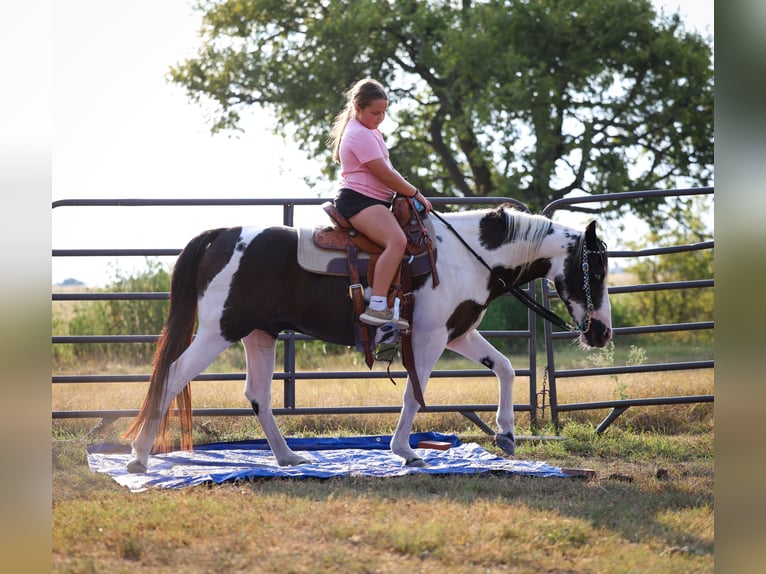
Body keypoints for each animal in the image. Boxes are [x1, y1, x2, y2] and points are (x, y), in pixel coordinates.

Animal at [123, 203, 612, 472]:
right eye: (595, 270)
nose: (602, 332)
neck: (467, 255)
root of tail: (222, 234)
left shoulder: (458, 333)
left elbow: (506, 368)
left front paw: (507, 432)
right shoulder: (429, 337)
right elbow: (415, 393)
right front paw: (406, 452)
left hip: (259, 335)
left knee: (257, 394)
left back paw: (289, 459)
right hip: (217, 332)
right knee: (171, 376)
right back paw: (140, 456)